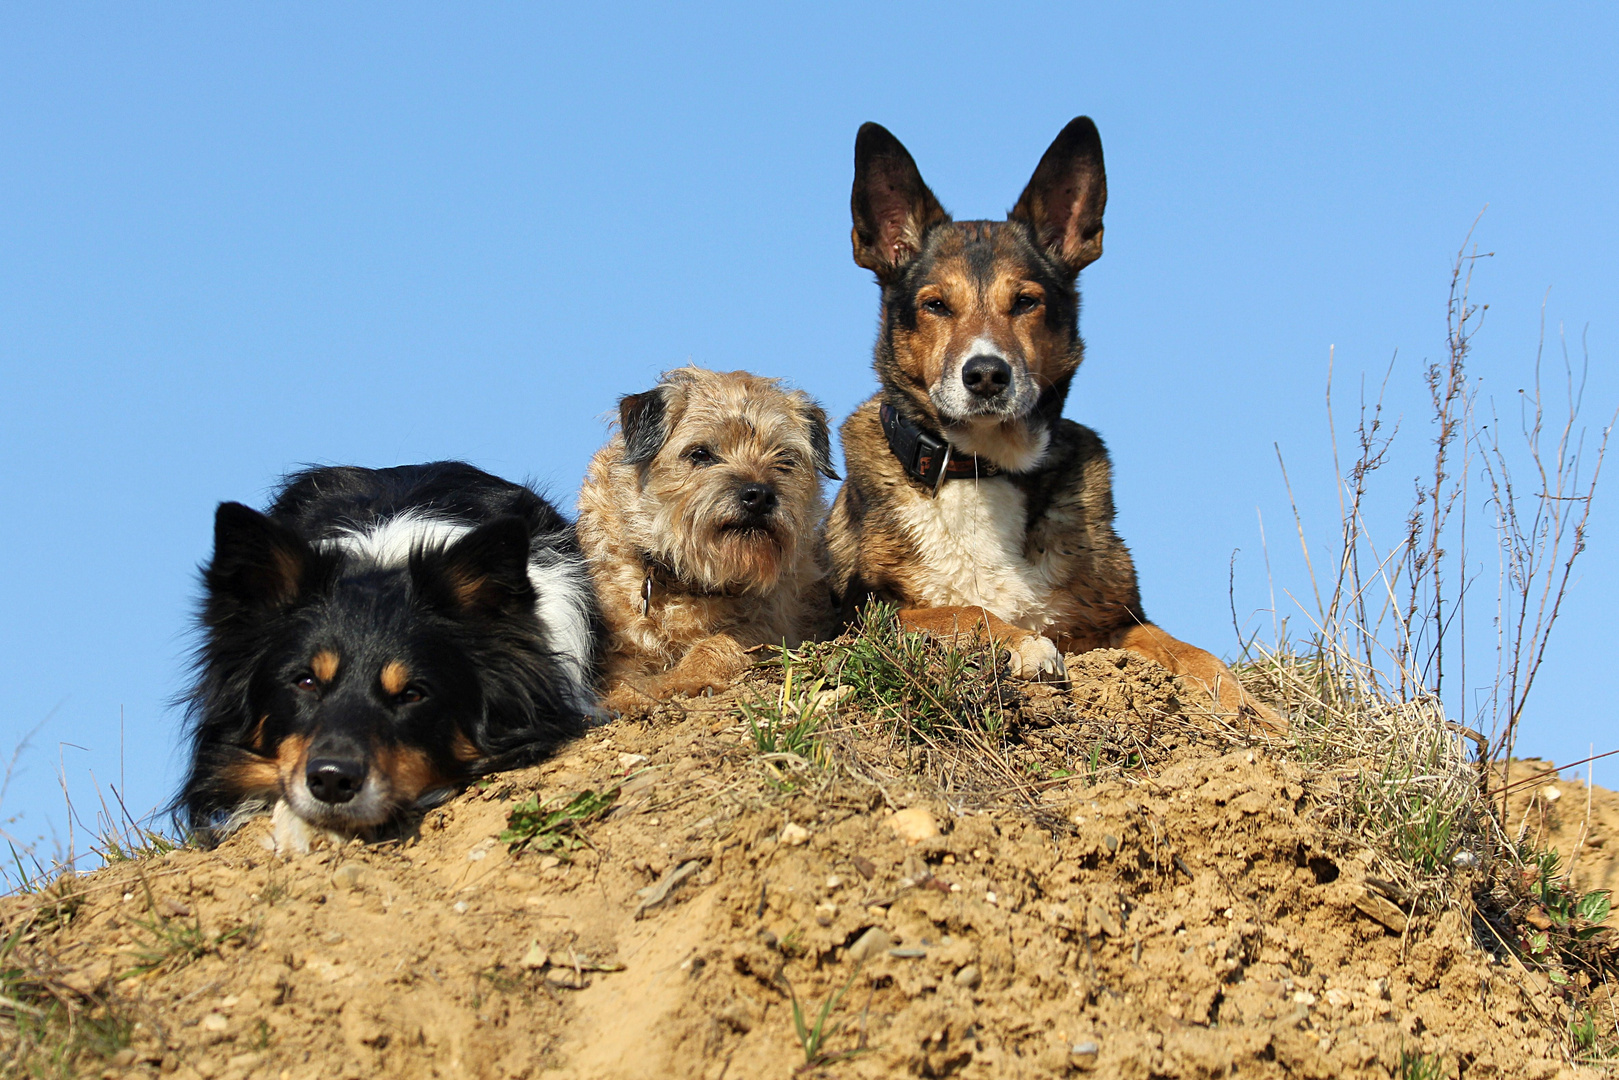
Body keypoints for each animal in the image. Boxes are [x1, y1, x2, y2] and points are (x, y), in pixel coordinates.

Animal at [828, 116, 1282, 725]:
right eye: (936, 305)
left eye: (1025, 302)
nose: (987, 375)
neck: (982, 469)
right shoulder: (866, 617)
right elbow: (961, 611)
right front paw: (1025, 644)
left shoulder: (1112, 622)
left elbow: (1189, 650)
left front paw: (1243, 703)